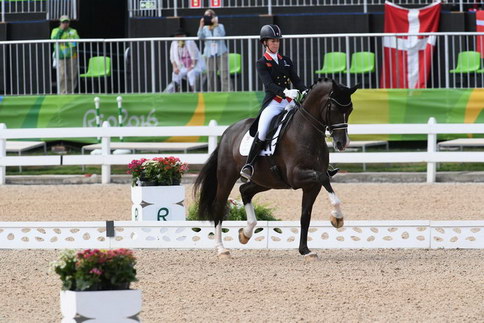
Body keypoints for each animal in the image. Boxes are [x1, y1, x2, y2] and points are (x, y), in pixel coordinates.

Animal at [195, 78, 358, 260]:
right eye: (334, 108)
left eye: (350, 109)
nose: (342, 143)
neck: (306, 131)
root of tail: (227, 132)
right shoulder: (296, 176)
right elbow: (323, 177)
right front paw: (337, 218)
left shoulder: (311, 186)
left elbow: (305, 216)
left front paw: (305, 250)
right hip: (227, 176)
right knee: (219, 205)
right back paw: (221, 249)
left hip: (266, 181)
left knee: (245, 190)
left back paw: (246, 233)